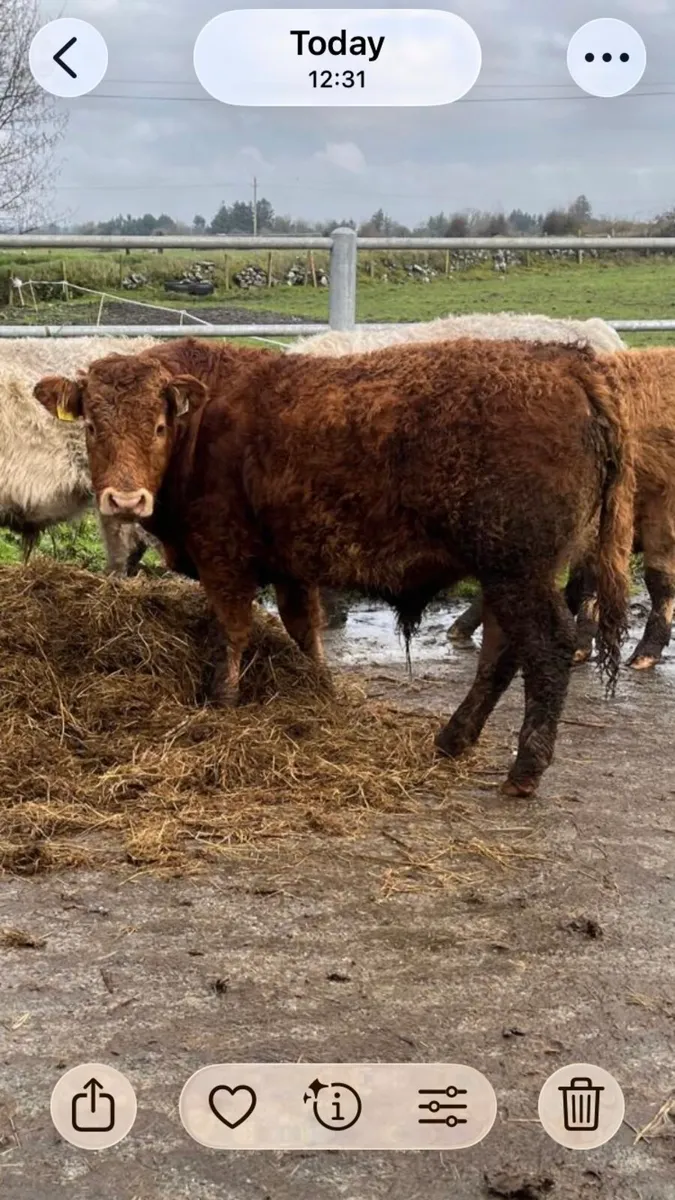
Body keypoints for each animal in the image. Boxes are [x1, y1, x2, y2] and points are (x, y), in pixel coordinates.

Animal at [34, 336, 634, 797]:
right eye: (91, 426)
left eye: (158, 426)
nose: (125, 500)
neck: (202, 426)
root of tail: (567, 361)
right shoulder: (290, 564)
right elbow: (305, 631)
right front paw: (317, 692)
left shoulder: (222, 555)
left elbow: (234, 629)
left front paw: (223, 702)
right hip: (506, 573)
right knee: (502, 652)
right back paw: (454, 738)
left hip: (518, 570)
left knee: (547, 648)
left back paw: (524, 770)